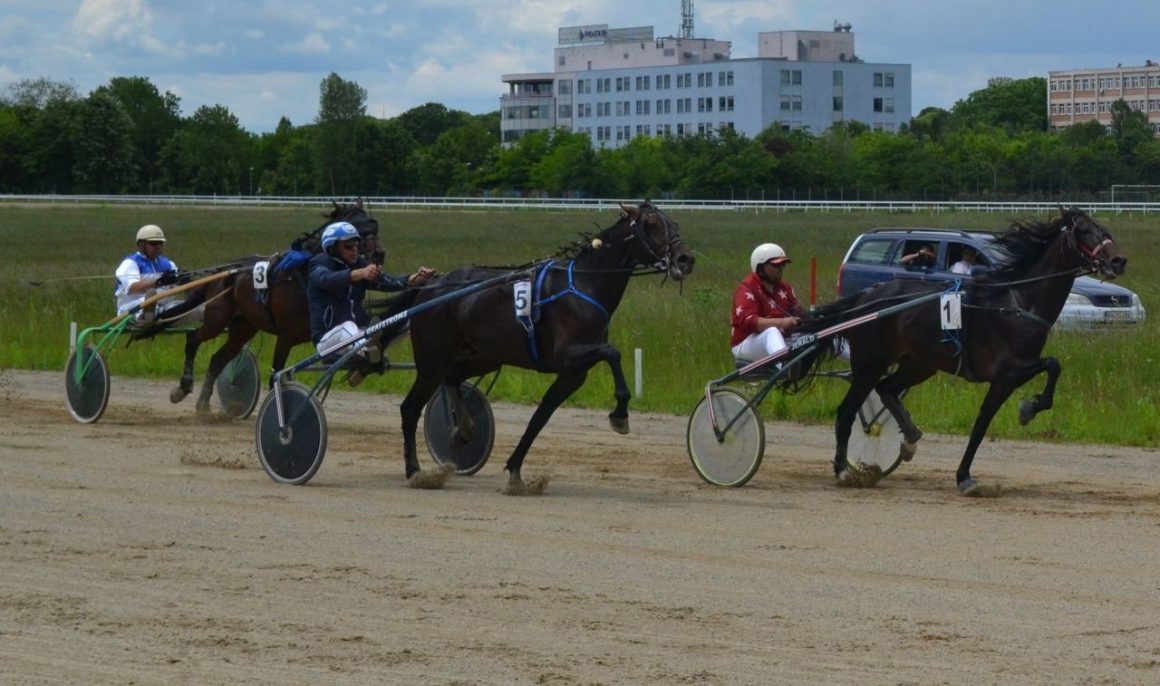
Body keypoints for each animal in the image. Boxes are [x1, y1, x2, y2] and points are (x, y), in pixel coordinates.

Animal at [170, 198, 385, 413]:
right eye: (357, 231)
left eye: (374, 227)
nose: (379, 256)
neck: (303, 276)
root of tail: (224, 271)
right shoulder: (285, 336)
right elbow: (276, 374)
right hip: (217, 318)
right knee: (193, 339)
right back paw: (183, 387)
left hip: (244, 327)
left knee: (217, 360)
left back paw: (203, 404)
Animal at [394, 199, 691, 494]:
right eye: (651, 224)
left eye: (675, 223)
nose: (685, 259)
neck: (585, 283)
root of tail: (431, 284)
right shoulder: (566, 356)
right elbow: (612, 352)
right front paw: (620, 415)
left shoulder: (573, 374)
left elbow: (539, 418)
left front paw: (515, 473)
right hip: (432, 360)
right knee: (410, 408)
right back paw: (415, 471)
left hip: (484, 357)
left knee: (452, 378)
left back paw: (463, 429)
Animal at [798, 206, 1122, 496]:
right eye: (1084, 231)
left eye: (1104, 229)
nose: (1119, 260)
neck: (1019, 302)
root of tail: (866, 297)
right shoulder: (1006, 373)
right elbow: (1043, 372)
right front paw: (1025, 412)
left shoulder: (1009, 376)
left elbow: (1043, 374)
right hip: (870, 364)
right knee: (847, 411)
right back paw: (842, 469)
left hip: (918, 364)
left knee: (887, 388)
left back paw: (910, 437)